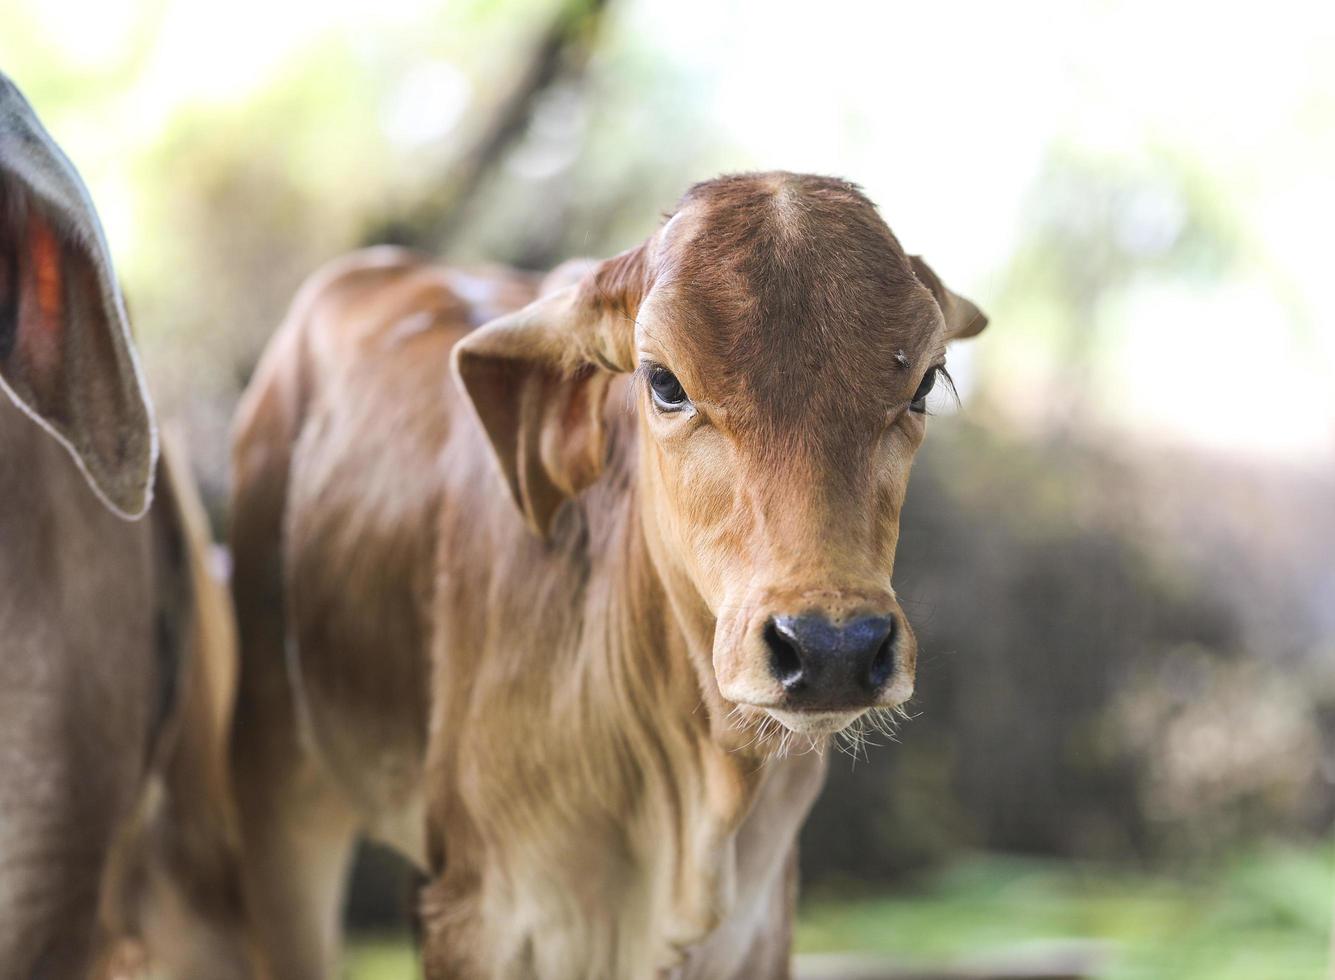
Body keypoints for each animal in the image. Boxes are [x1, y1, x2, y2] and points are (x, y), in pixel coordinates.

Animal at [229, 172, 987, 977]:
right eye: (663, 382)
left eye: (924, 382)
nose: (833, 648)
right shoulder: (477, 918)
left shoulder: (763, 922)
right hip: (278, 797)